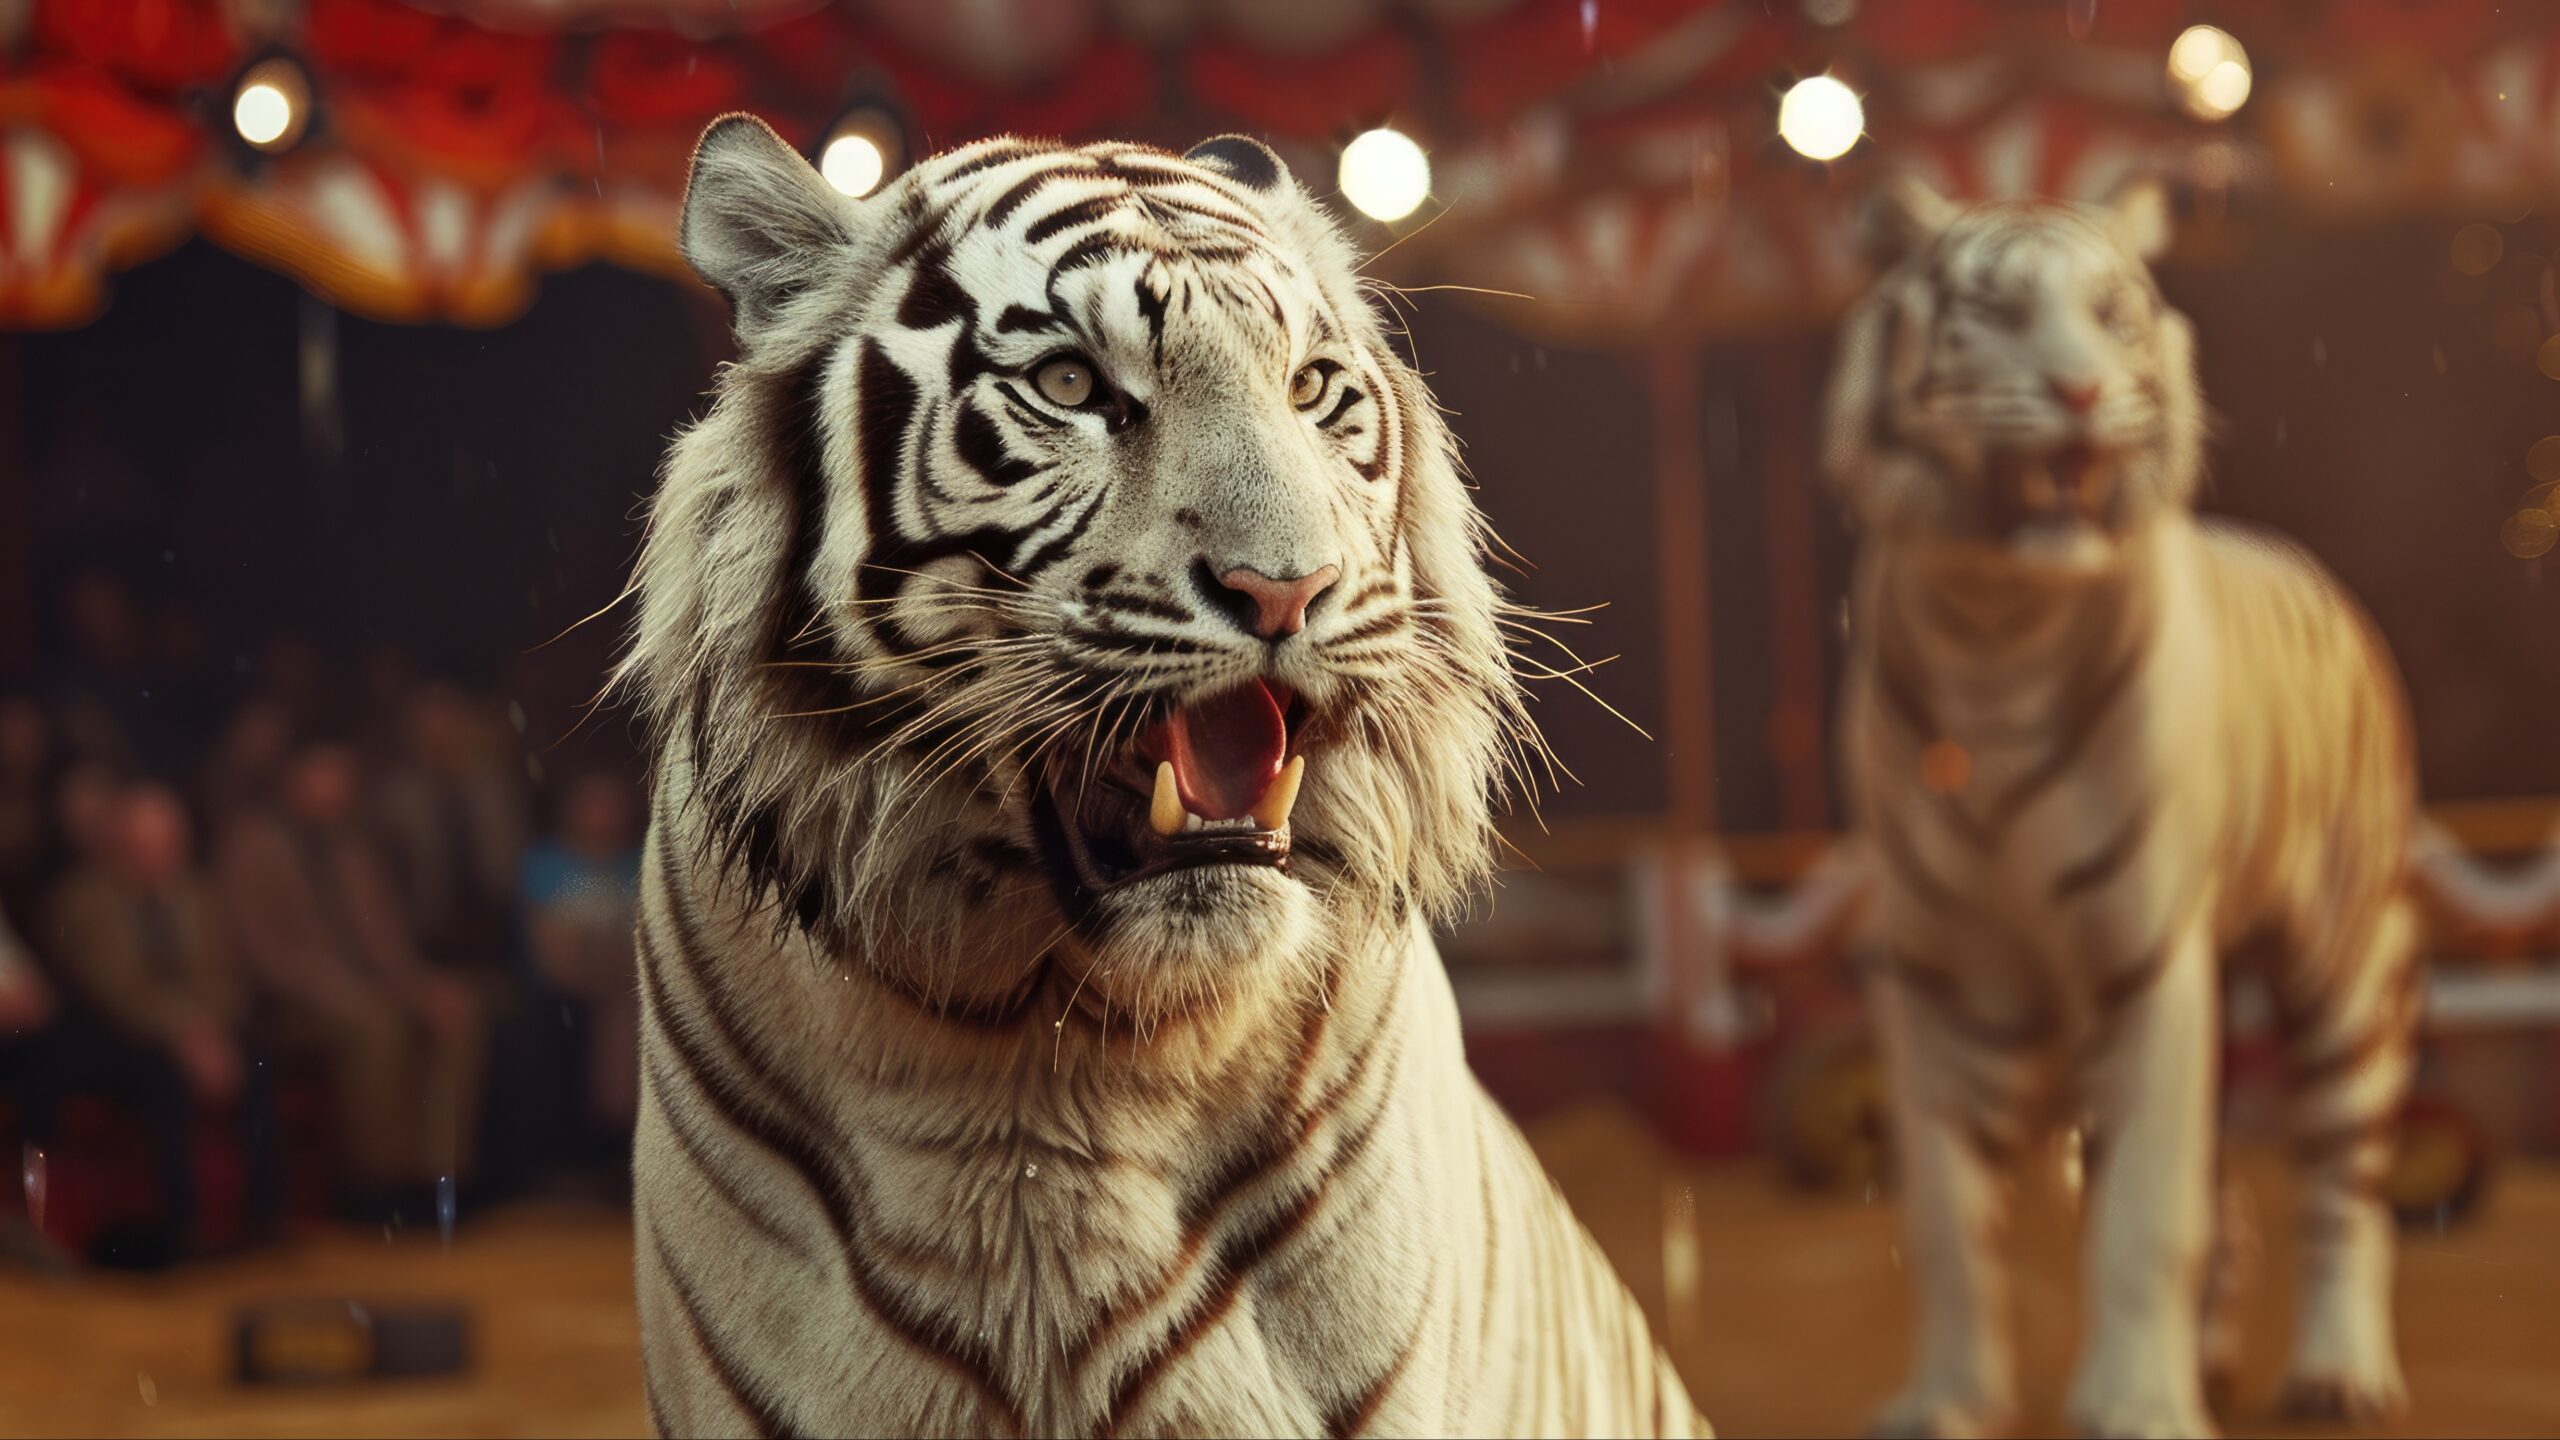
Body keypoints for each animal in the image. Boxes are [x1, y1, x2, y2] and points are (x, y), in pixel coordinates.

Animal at [1823, 178, 2420, 1438]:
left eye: (2112, 317)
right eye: (1997, 316)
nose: (2081, 392)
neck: (1996, 630)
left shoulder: (2147, 960)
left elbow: (2145, 1218)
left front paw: (2138, 1408)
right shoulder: (1942, 972)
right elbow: (1947, 1223)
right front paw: (1943, 1401)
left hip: (2349, 962)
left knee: (2344, 1181)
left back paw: (2337, 1372)